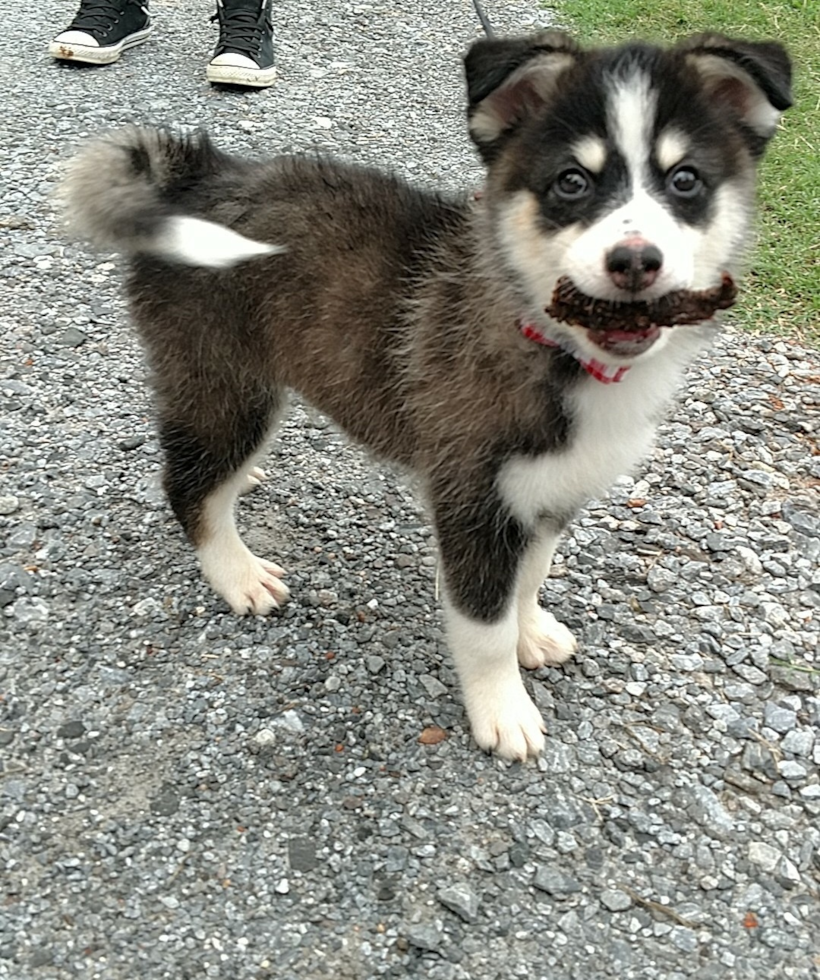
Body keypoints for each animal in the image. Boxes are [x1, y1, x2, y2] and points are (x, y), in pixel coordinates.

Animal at [60, 30, 792, 760]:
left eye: (685, 180)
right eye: (572, 182)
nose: (635, 261)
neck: (553, 344)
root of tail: (195, 175)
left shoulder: (551, 487)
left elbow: (530, 574)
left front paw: (531, 630)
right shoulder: (473, 495)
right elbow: (485, 623)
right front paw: (503, 711)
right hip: (225, 376)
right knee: (188, 485)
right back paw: (237, 574)